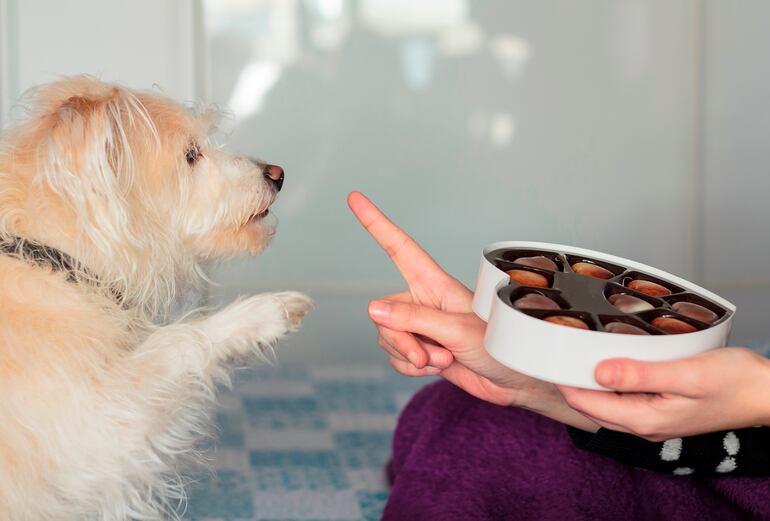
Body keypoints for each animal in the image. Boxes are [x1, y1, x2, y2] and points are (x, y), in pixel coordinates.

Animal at [0, 77, 312, 520]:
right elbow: (176, 341)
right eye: (191, 155)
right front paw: (263, 313)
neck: (54, 257)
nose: (278, 174)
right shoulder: (95, 427)